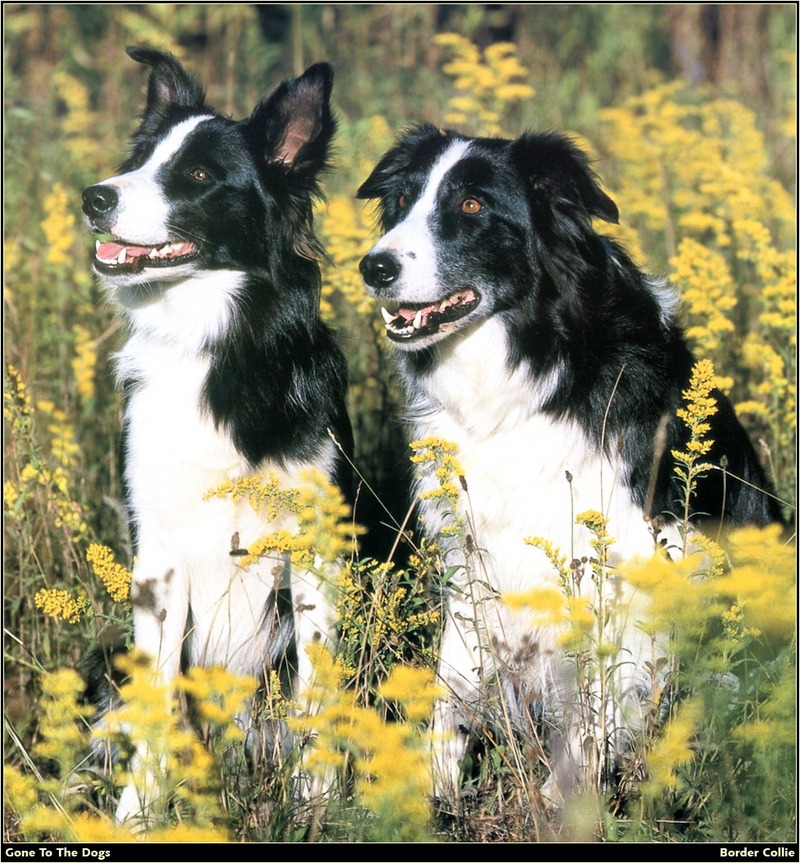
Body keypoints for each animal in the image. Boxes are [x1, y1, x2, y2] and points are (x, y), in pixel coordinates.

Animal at [81, 49, 350, 824]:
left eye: (198, 177)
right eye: (138, 160)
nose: (93, 197)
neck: (215, 344)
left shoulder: (313, 552)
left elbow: (315, 695)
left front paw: (317, 809)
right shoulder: (158, 556)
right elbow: (156, 703)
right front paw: (138, 817)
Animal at [358, 123, 780, 804]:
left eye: (471, 206)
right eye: (399, 202)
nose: (374, 267)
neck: (529, 364)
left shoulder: (627, 552)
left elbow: (593, 709)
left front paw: (564, 807)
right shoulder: (473, 552)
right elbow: (453, 690)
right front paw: (432, 797)